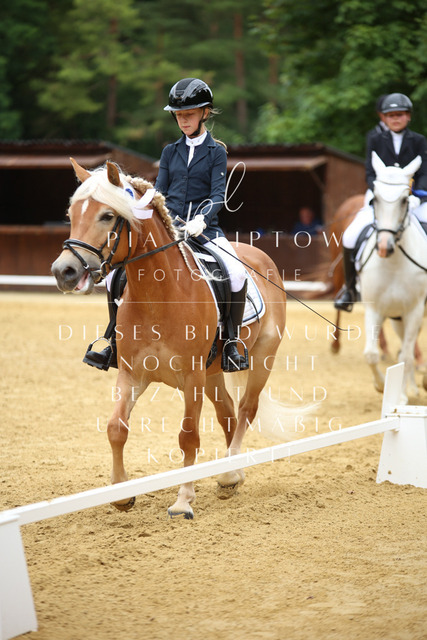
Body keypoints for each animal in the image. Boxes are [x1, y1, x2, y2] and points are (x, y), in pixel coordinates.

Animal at [51, 159, 289, 519]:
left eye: (107, 215)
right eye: (71, 214)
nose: (63, 271)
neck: (158, 294)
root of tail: (260, 257)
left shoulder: (191, 377)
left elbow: (188, 436)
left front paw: (183, 501)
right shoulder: (133, 373)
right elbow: (116, 427)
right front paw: (121, 494)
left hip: (263, 356)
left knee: (246, 408)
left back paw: (230, 472)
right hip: (213, 372)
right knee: (228, 414)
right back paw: (230, 476)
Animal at [357, 152, 427, 403]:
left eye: (405, 200)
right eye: (374, 200)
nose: (384, 247)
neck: (394, 264)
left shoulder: (414, 310)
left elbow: (405, 355)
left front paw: (401, 397)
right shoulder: (374, 308)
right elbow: (370, 354)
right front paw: (381, 386)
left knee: (409, 350)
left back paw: (414, 388)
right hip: (398, 318)